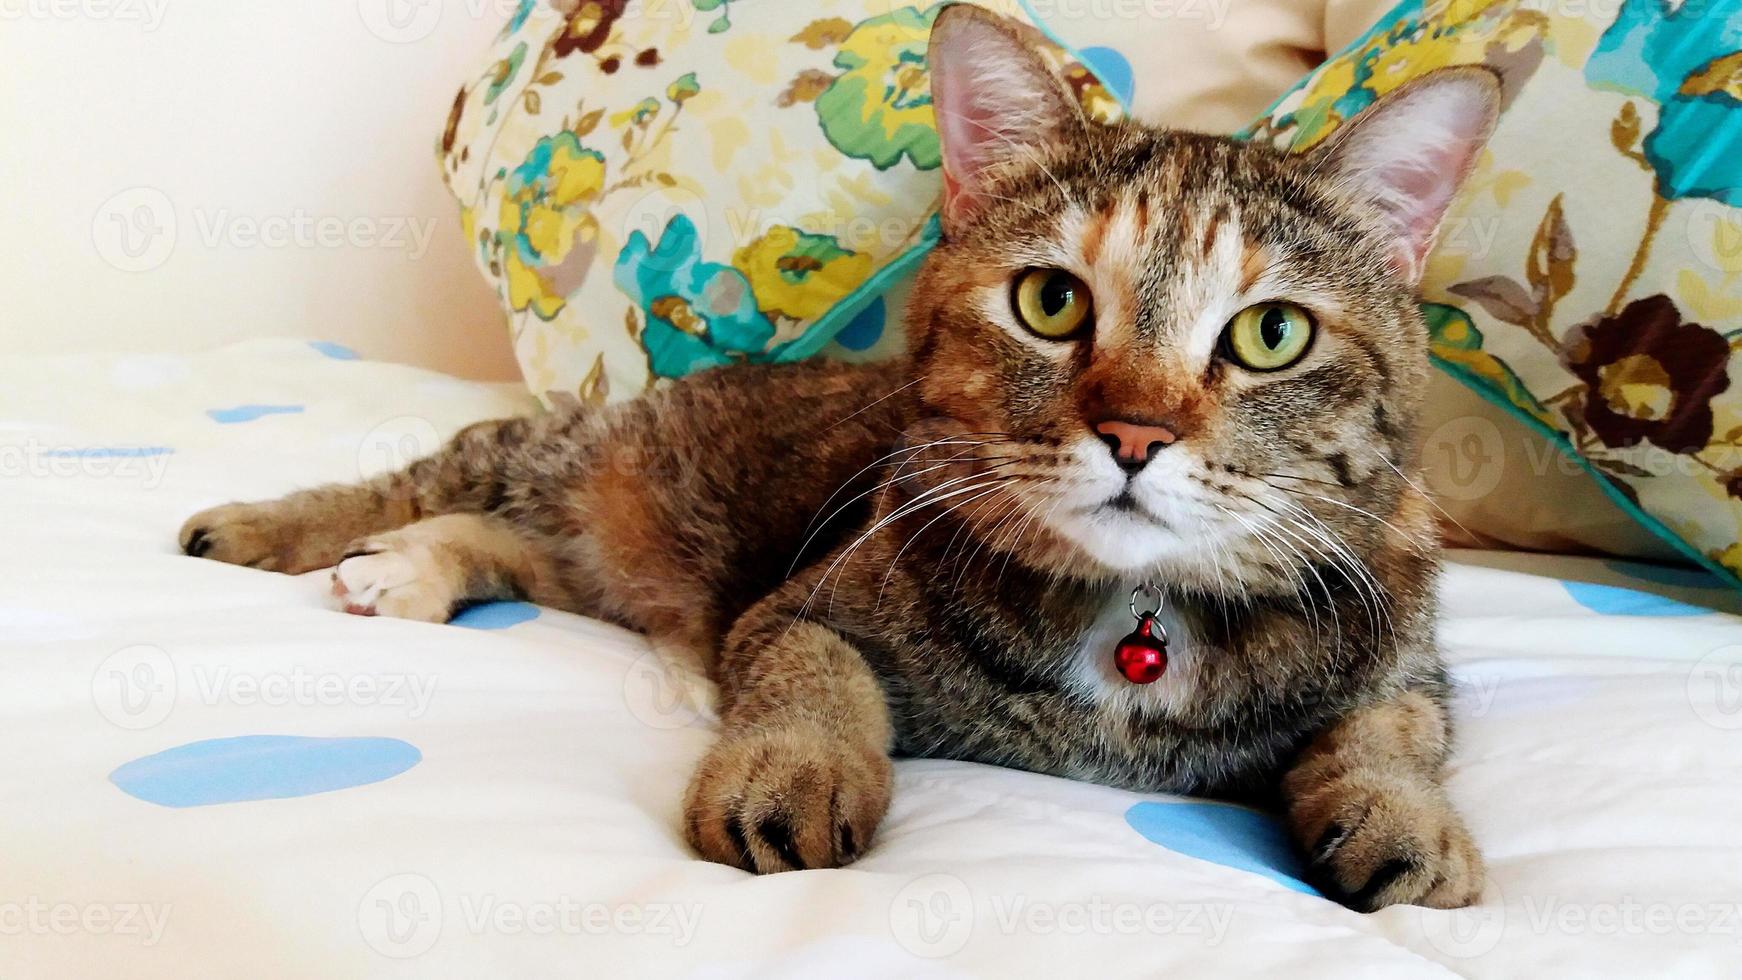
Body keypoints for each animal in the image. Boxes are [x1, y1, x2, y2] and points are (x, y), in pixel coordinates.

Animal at [183, 5, 1505, 912]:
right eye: (1049, 302)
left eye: (1270, 334)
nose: (1133, 432)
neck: (1139, 630)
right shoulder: (798, 605)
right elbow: (815, 682)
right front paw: (794, 775)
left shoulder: (1402, 658)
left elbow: (1390, 733)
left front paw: (1410, 822)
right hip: (580, 461)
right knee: (444, 469)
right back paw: (267, 529)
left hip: (623, 558)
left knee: (514, 544)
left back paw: (408, 568)